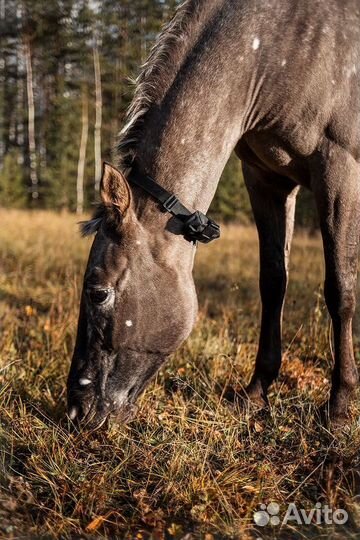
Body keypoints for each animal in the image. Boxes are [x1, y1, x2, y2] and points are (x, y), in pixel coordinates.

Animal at [67, 0, 360, 430]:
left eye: (98, 292)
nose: (76, 409)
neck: (275, 51)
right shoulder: (265, 180)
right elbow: (273, 282)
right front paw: (256, 391)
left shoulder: (341, 170)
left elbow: (341, 289)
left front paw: (338, 407)